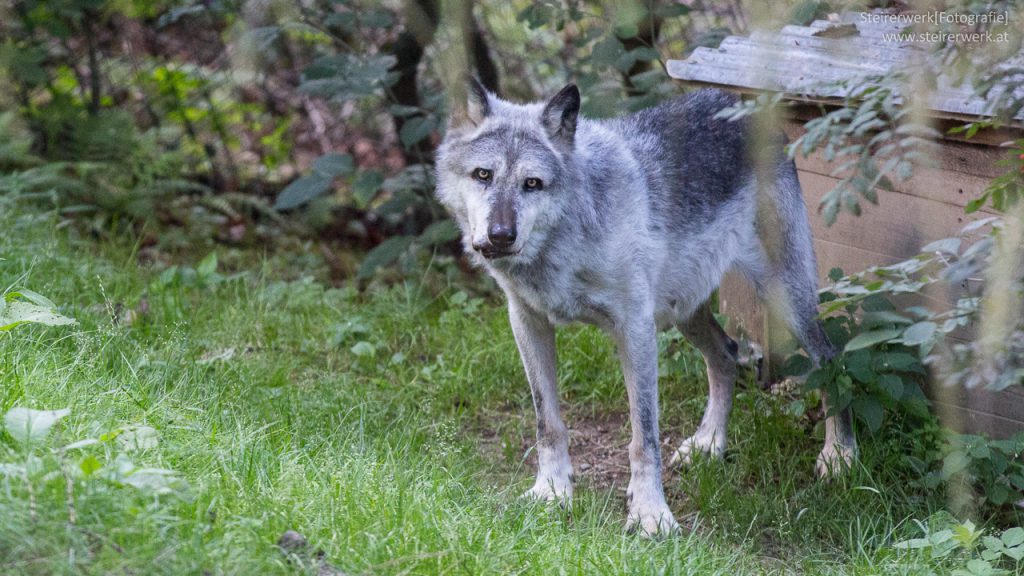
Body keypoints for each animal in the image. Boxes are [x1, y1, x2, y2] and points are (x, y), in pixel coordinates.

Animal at [432, 79, 856, 532]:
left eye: (532, 183)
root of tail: (741, 103)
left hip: (783, 298)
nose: (500, 235)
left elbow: (644, 437)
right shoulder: (527, 321)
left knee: (829, 358)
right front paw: (551, 493)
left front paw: (651, 514)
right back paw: (709, 444)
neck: (565, 240)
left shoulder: (634, 329)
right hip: (684, 310)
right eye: (483, 175)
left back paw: (839, 457)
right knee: (727, 355)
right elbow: (548, 423)